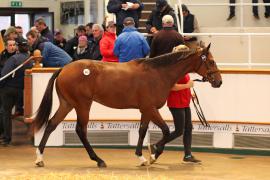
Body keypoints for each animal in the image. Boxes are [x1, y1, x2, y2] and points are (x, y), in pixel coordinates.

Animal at [33, 43, 221, 167]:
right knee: (80, 130)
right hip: (82, 105)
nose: (219, 82)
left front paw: (142, 157)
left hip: (67, 104)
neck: (158, 74)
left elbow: (142, 131)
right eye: (211, 62)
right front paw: (154, 153)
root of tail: (64, 69)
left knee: (51, 124)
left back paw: (40, 158)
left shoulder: (146, 110)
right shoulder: (150, 108)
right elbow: (167, 131)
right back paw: (98, 160)